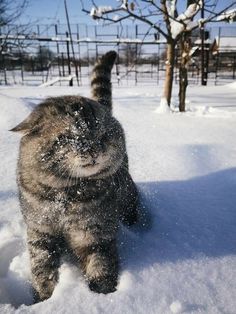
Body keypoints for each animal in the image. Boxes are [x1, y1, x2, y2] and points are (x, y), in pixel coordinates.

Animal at [10, 51, 138, 302]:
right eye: (71, 137)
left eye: (103, 135)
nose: (94, 150)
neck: (65, 193)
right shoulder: (40, 232)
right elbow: (42, 269)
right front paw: (44, 299)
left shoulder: (95, 232)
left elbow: (100, 266)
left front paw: (103, 297)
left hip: (128, 196)